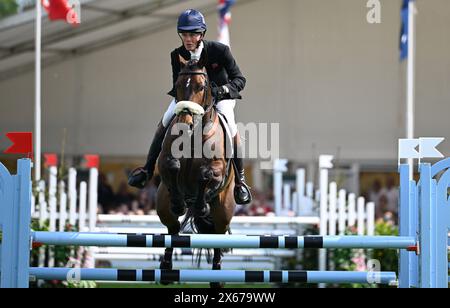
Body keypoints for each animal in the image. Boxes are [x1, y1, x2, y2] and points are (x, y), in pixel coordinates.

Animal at [156, 49, 236, 288]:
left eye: (202, 86)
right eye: (178, 85)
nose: (185, 123)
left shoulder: (217, 171)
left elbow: (205, 174)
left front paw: (201, 206)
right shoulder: (164, 162)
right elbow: (171, 165)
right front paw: (179, 202)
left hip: (224, 211)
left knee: (218, 236)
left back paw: (217, 277)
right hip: (162, 205)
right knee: (172, 229)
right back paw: (166, 267)